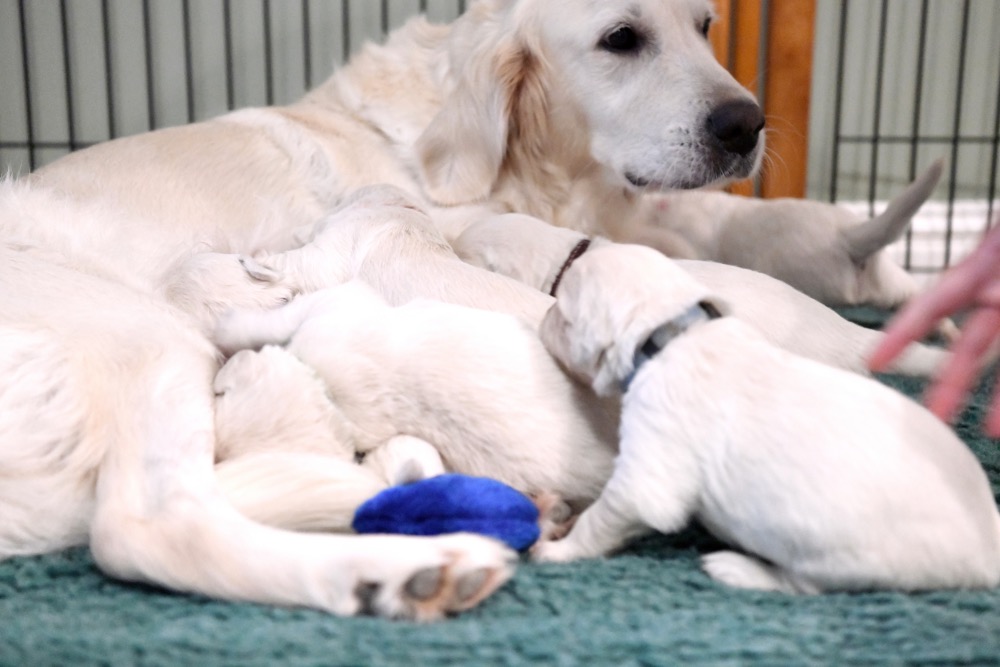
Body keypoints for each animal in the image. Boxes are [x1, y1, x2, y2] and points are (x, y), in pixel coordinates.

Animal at [532, 244, 1000, 596]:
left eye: (562, 312)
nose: (543, 317)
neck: (676, 331)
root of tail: (987, 547)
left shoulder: (649, 468)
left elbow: (609, 512)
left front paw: (556, 550)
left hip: (838, 555)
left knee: (805, 585)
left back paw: (737, 569)